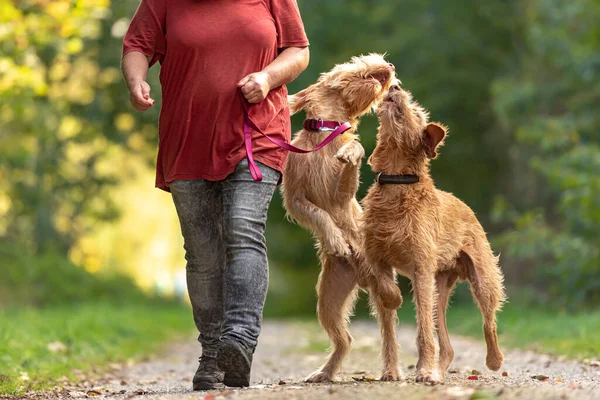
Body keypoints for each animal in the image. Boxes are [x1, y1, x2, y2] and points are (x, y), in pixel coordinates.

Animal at [278, 54, 400, 382]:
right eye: (353, 61)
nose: (391, 67)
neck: (325, 131)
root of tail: (363, 275)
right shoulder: (295, 199)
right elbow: (319, 214)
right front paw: (336, 240)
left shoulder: (342, 196)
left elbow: (353, 156)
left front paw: (350, 152)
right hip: (329, 300)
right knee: (345, 339)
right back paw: (324, 372)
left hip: (379, 286)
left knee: (389, 329)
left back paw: (392, 370)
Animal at [360, 83, 506, 384]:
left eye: (416, 111)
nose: (395, 85)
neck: (396, 183)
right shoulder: (377, 258)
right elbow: (386, 302)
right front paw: (391, 371)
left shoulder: (421, 268)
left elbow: (424, 332)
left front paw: (424, 370)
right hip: (439, 286)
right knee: (447, 346)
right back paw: (439, 368)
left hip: (482, 280)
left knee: (488, 322)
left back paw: (492, 360)